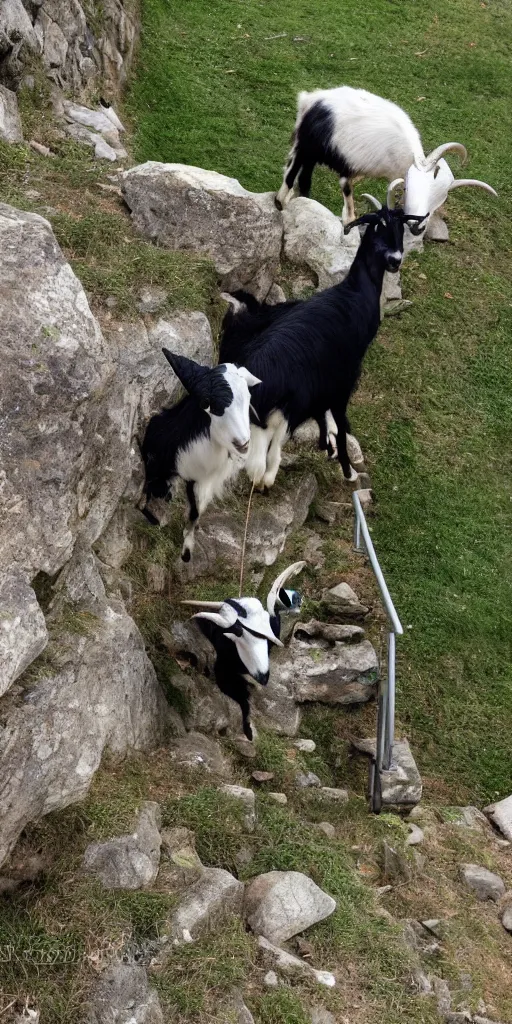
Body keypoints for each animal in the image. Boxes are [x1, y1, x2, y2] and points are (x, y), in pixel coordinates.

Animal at [140, 350, 260, 561]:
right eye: (206, 404)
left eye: (248, 395)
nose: (243, 443)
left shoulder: (197, 480)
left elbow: (195, 510)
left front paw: (187, 548)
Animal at [218, 184, 421, 491]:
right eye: (377, 225)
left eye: (401, 227)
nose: (395, 260)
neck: (354, 292)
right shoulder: (343, 378)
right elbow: (338, 420)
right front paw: (347, 469)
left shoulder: (323, 385)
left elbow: (323, 416)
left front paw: (326, 445)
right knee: (266, 452)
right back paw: (266, 477)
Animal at [276, 83, 495, 232]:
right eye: (408, 188)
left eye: (441, 197)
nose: (417, 227)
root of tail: (311, 99)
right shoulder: (349, 166)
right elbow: (348, 198)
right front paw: (348, 224)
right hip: (306, 145)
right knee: (292, 172)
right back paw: (280, 203)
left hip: (312, 152)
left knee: (304, 176)